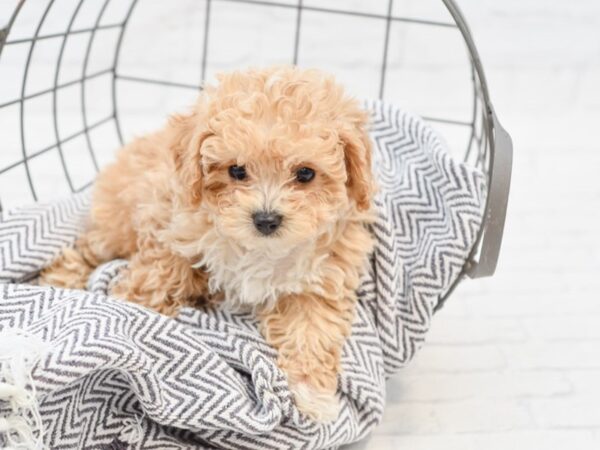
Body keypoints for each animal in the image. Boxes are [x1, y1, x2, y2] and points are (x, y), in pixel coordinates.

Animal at [39, 67, 376, 422]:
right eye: (237, 170)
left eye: (306, 174)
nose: (266, 219)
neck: (257, 248)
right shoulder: (169, 231)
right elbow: (154, 283)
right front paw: (131, 320)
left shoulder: (320, 278)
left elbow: (311, 333)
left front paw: (313, 395)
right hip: (115, 227)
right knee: (85, 250)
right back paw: (60, 278)